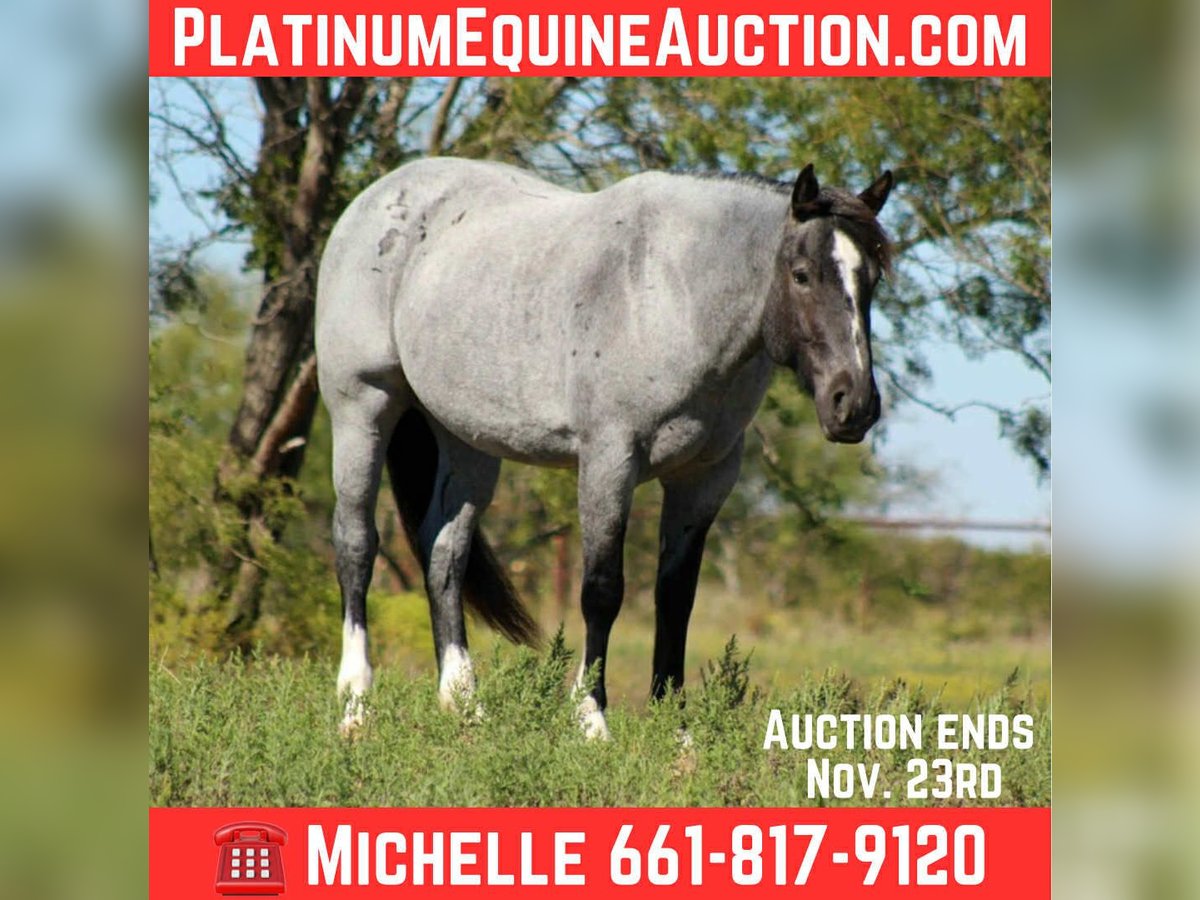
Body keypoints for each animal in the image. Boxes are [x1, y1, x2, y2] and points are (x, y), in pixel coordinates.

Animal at [315, 157, 893, 738]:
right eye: (801, 274)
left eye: (871, 278)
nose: (854, 405)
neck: (672, 293)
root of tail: (377, 196)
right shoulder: (609, 461)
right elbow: (602, 589)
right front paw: (591, 718)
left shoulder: (704, 477)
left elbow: (675, 595)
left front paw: (675, 725)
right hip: (363, 408)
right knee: (357, 544)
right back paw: (355, 705)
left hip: (467, 442)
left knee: (444, 553)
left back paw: (464, 704)